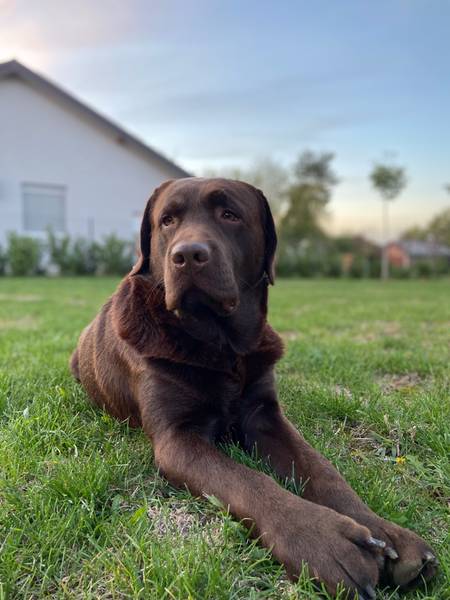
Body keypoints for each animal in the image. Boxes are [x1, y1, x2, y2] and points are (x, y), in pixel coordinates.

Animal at [70, 176, 436, 596]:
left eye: (230, 215)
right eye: (167, 221)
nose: (188, 254)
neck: (221, 346)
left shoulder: (265, 414)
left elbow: (323, 471)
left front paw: (387, 533)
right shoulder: (176, 438)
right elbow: (247, 481)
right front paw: (323, 542)